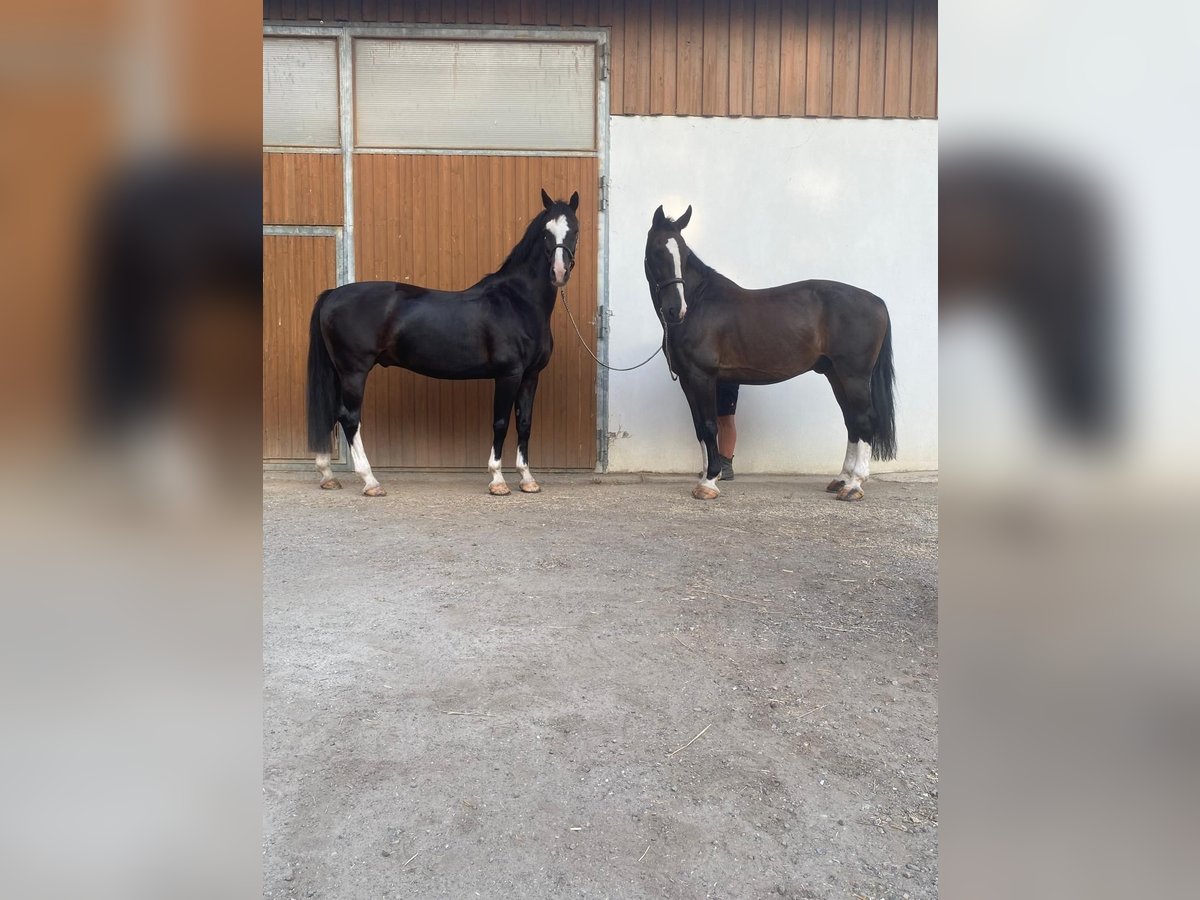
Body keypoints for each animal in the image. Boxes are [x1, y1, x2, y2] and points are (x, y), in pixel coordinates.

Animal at [302, 192, 578, 501]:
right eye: (546, 232)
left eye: (575, 230)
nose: (559, 272)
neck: (517, 302)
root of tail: (331, 294)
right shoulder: (509, 375)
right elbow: (501, 423)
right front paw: (497, 480)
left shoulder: (531, 376)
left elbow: (525, 423)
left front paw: (527, 479)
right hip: (354, 372)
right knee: (349, 419)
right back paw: (370, 481)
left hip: (339, 372)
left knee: (332, 413)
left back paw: (328, 475)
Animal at [648, 204, 892, 501]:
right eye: (657, 250)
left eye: (682, 254)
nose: (676, 309)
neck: (699, 303)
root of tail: (877, 301)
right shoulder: (687, 379)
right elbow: (699, 428)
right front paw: (705, 475)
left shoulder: (702, 376)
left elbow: (709, 425)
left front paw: (709, 482)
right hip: (835, 375)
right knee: (852, 421)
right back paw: (841, 479)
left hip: (853, 376)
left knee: (865, 420)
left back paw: (855, 485)